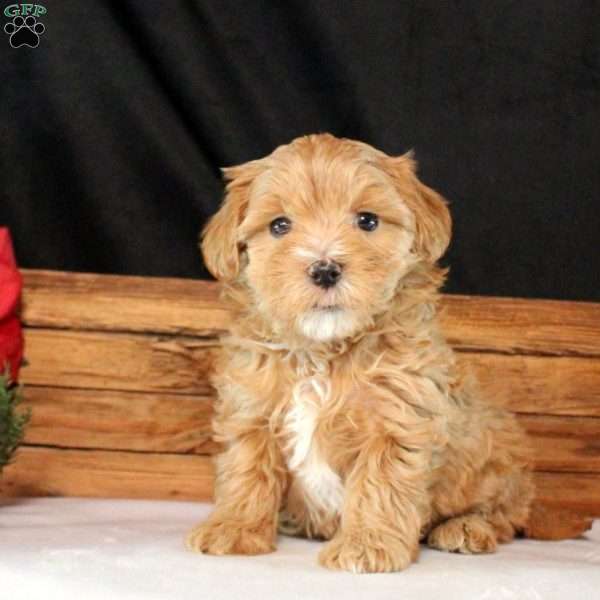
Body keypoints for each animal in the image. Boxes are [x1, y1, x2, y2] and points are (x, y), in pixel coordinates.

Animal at [185, 134, 532, 576]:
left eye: (367, 221)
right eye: (279, 225)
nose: (325, 270)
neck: (322, 350)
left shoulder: (397, 419)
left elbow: (379, 484)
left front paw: (367, 545)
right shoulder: (252, 411)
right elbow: (247, 471)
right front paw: (234, 529)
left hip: (496, 457)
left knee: (505, 513)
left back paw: (466, 528)